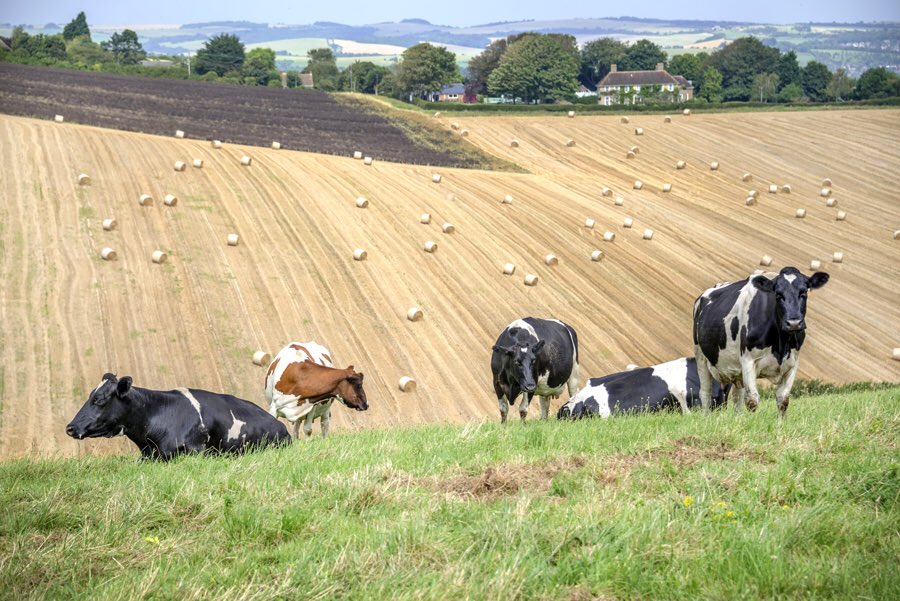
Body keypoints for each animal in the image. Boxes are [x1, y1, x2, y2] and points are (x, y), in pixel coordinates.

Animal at [692, 268, 832, 418]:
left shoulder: (793, 364)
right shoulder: (747, 360)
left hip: (736, 370)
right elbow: (752, 400)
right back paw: (706, 417)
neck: (780, 344)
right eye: (778, 295)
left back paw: (738, 419)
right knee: (705, 393)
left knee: (737, 396)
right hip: (701, 358)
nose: (794, 323)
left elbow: (783, 400)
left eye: (804, 292)